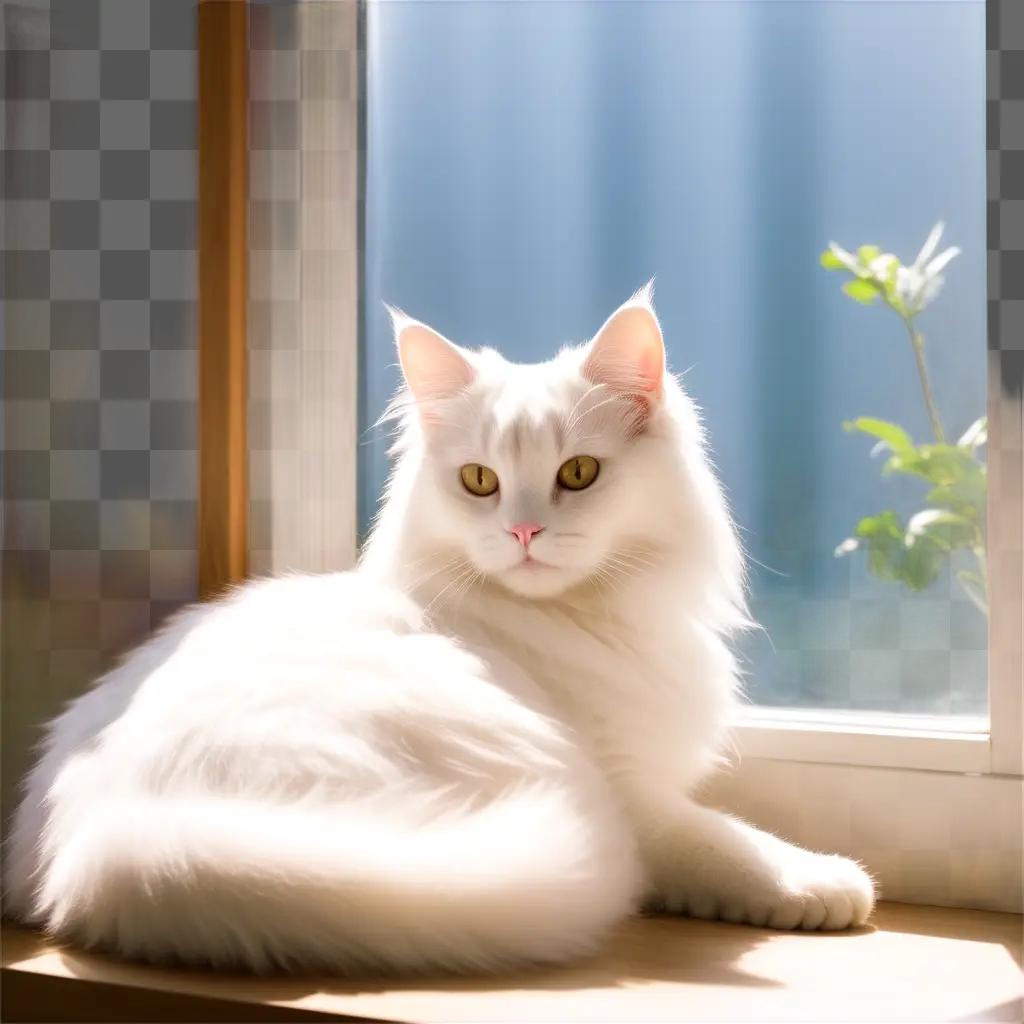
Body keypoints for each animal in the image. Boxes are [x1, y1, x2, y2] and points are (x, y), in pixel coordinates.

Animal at [4, 286, 876, 966]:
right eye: (480, 481)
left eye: (578, 474)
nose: (523, 532)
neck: (587, 617)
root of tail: (100, 847)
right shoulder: (639, 800)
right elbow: (728, 843)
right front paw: (828, 884)